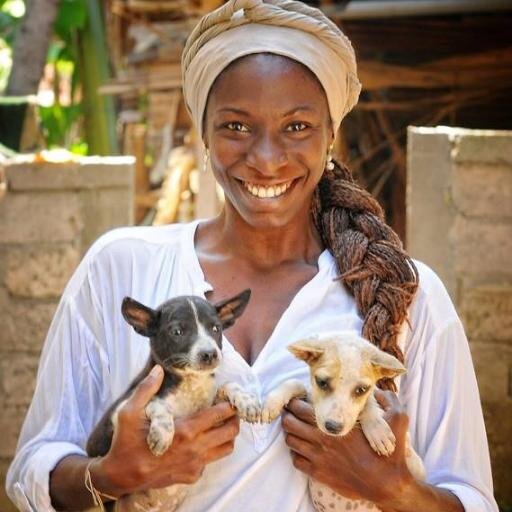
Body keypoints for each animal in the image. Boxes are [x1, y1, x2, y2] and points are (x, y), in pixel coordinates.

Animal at [86, 290, 260, 510]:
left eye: (216, 328)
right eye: (177, 332)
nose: (210, 354)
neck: (189, 384)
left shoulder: (212, 412)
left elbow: (228, 384)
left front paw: (247, 400)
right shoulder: (117, 416)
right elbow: (158, 402)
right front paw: (162, 433)